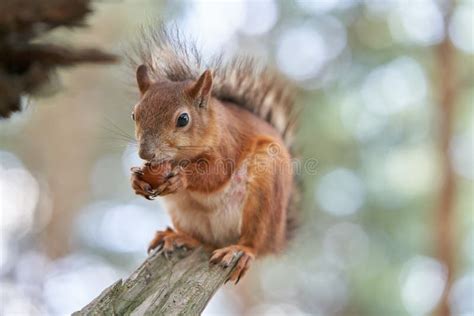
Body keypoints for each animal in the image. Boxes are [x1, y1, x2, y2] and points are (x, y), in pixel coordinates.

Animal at [128, 27, 300, 284]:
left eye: (183, 119)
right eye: (134, 114)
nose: (145, 153)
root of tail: (277, 240)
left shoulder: (228, 143)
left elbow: (216, 173)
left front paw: (181, 178)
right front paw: (136, 180)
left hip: (265, 192)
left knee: (254, 242)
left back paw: (240, 251)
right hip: (183, 213)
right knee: (204, 242)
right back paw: (177, 237)